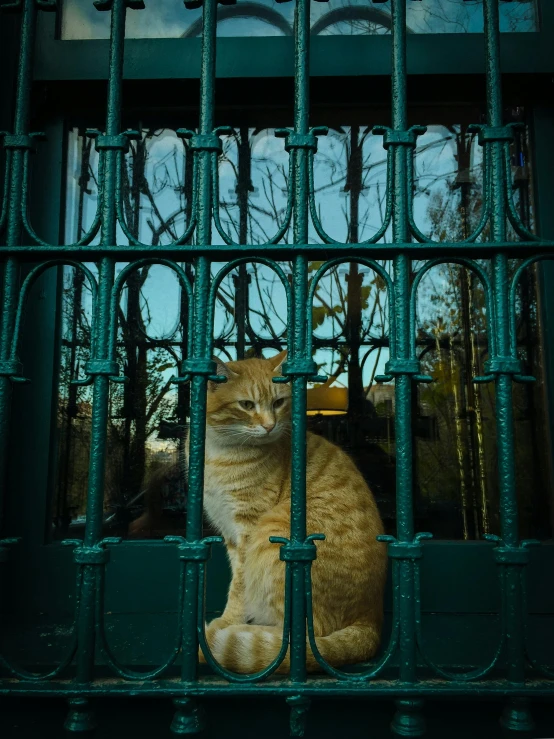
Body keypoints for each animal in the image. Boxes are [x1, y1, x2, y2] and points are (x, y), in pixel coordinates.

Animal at [192, 352, 386, 676]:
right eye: (247, 405)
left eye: (279, 402)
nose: (270, 426)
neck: (220, 453)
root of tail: (371, 619)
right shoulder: (230, 534)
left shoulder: (247, 530)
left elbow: (239, 587)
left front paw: (227, 622)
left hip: (274, 534)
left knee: (302, 636)